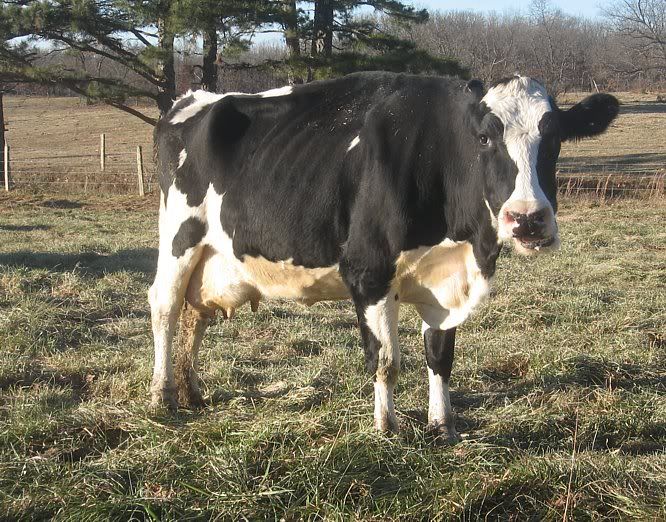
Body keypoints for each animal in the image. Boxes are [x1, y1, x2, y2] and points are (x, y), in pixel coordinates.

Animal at [149, 72, 619, 442]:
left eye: (555, 138)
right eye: (485, 137)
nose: (527, 219)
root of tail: (193, 99)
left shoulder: (445, 282)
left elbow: (440, 357)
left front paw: (442, 426)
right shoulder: (368, 272)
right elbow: (386, 360)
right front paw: (386, 428)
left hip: (211, 258)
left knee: (195, 316)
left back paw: (192, 391)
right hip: (179, 237)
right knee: (165, 307)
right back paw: (163, 394)